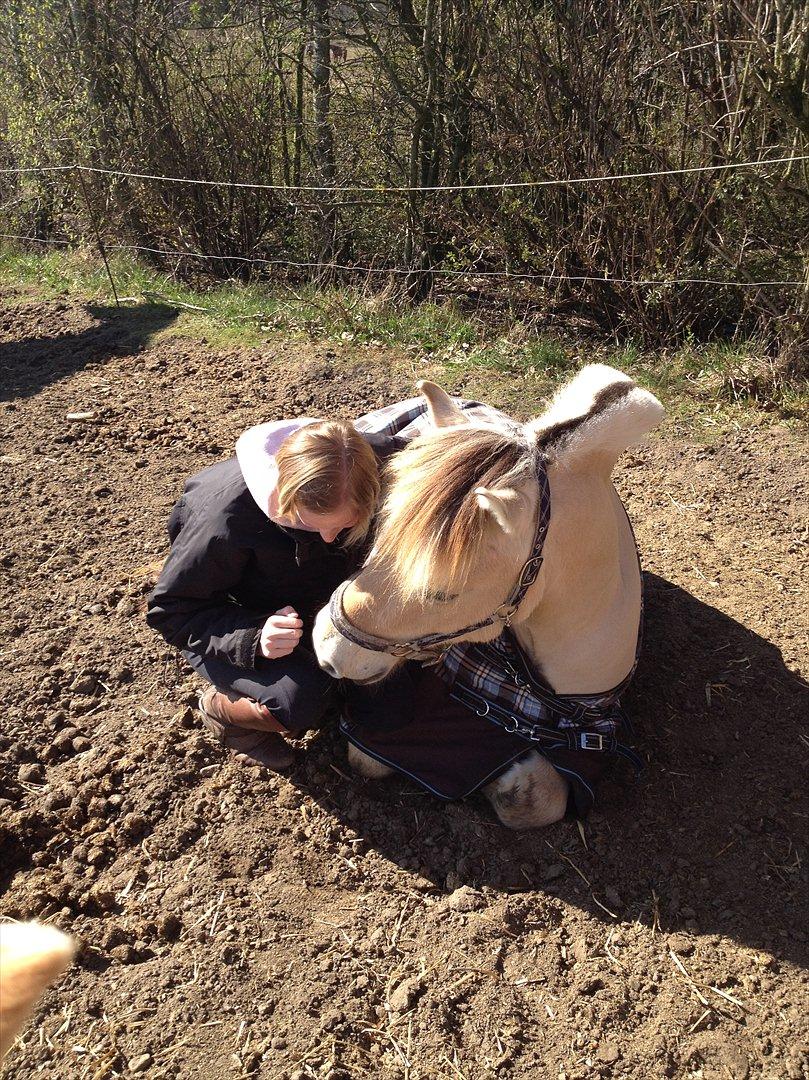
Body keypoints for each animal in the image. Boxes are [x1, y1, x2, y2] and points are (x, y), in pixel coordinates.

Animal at [311, 362, 661, 825]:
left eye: (443, 594)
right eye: (376, 538)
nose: (327, 650)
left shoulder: (589, 744)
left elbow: (533, 800)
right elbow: (368, 758)